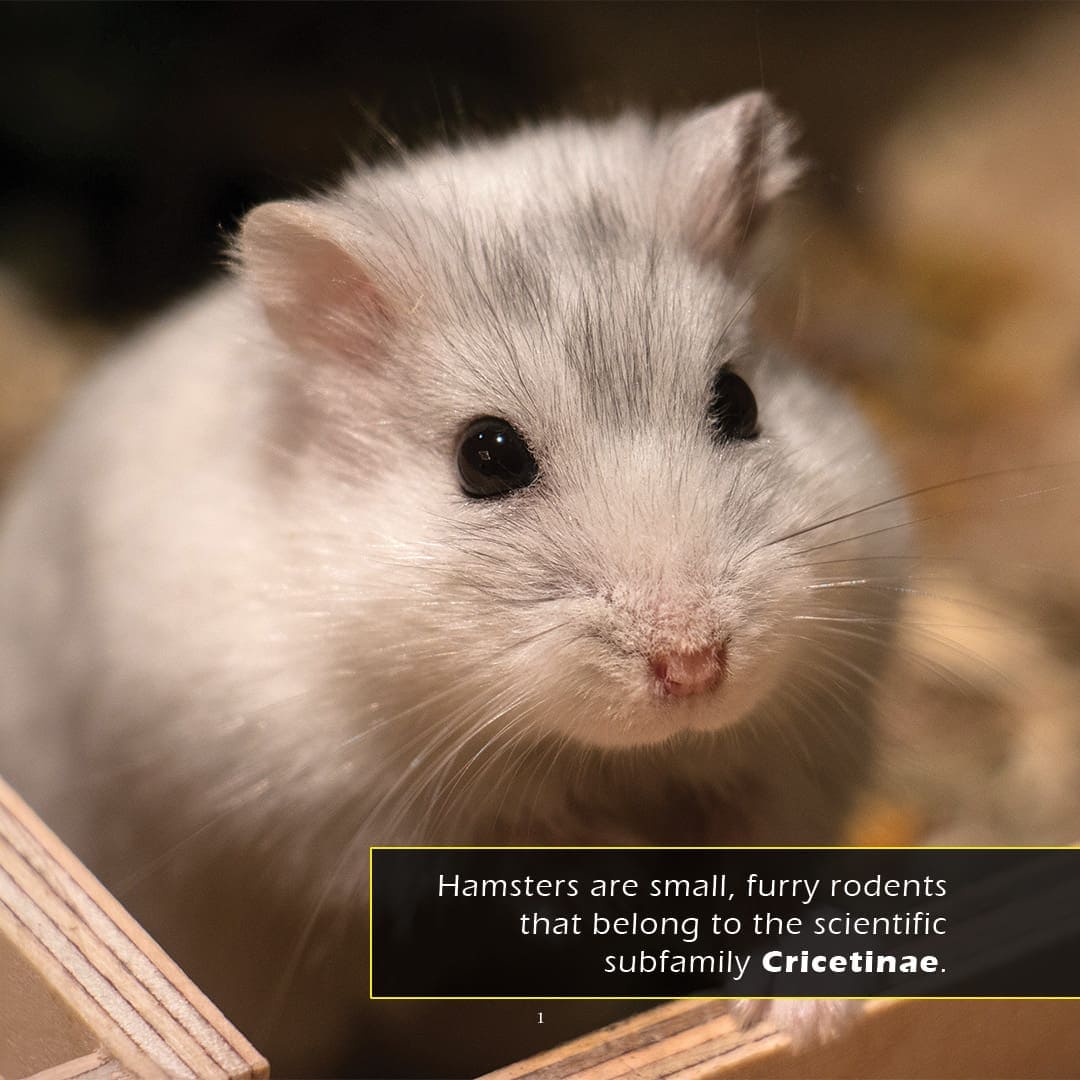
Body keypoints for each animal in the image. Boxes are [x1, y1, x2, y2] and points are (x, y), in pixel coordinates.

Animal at [0, 93, 907, 1074]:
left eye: (739, 400)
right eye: (487, 456)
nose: (696, 669)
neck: (605, 757)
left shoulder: (804, 744)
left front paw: (805, 1012)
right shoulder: (336, 816)